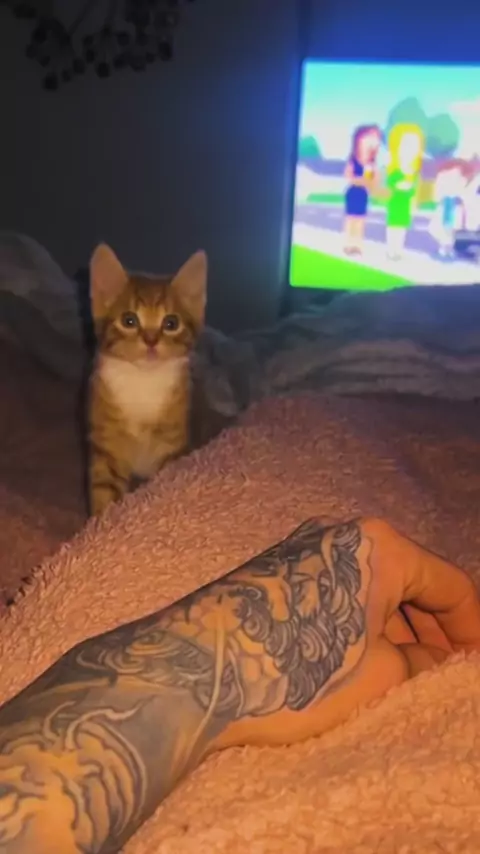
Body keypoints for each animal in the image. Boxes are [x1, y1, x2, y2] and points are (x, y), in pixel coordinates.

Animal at [88, 243, 207, 516]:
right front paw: (101, 522)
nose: (151, 340)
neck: (143, 379)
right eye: (129, 320)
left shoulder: (171, 444)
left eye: (171, 323)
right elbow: (105, 487)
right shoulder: (107, 443)